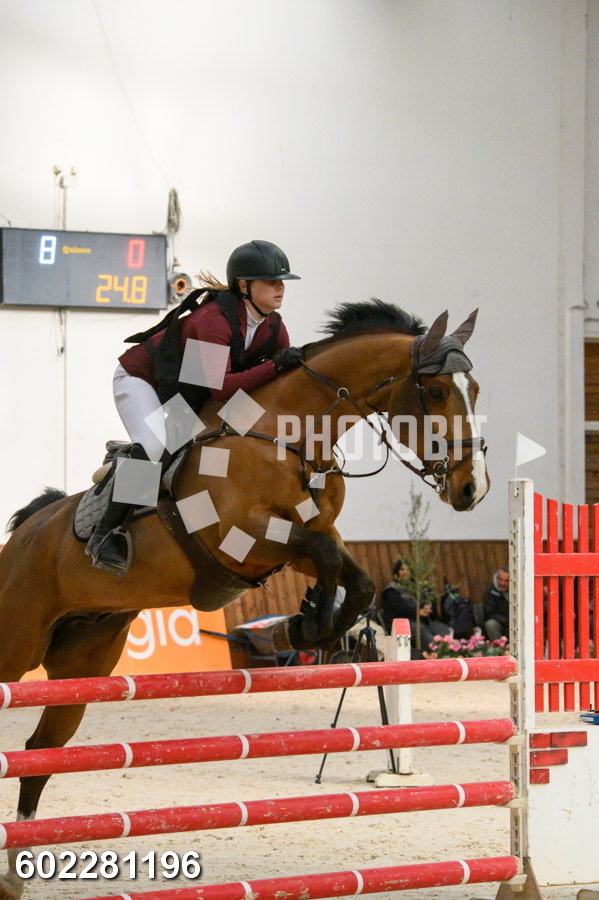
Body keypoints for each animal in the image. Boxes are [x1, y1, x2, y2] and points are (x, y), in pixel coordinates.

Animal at [0, 299, 488, 899]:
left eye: (476, 389)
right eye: (437, 391)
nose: (473, 490)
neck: (288, 436)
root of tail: (24, 534)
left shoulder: (294, 543)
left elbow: (350, 573)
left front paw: (309, 626)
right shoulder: (243, 537)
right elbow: (325, 554)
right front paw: (308, 623)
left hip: (82, 664)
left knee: (38, 752)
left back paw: (15, 874)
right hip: (16, 642)